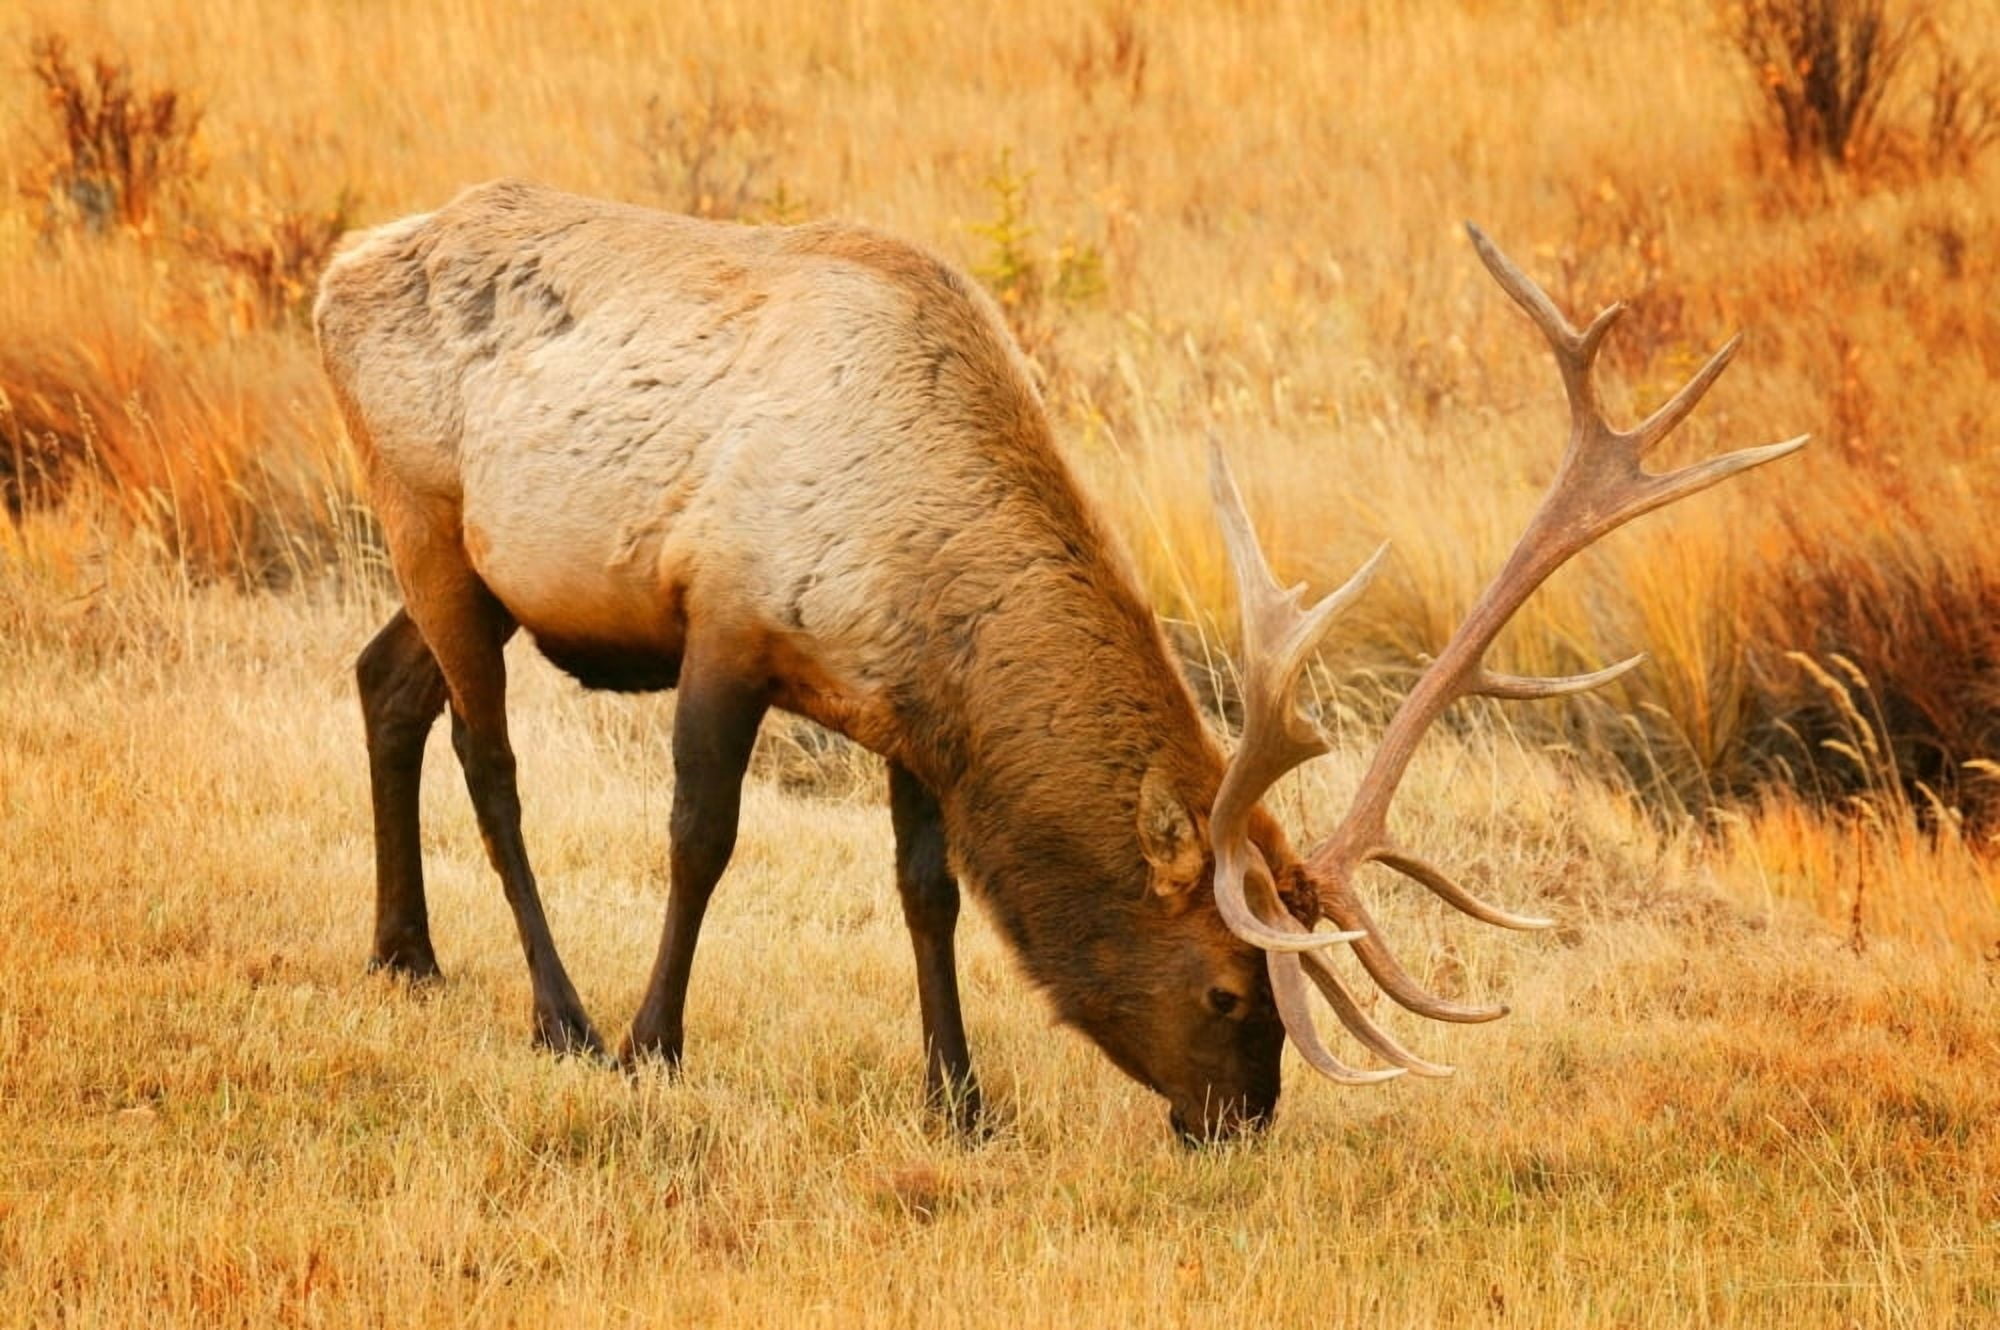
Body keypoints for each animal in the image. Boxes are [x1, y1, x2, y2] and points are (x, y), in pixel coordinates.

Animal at [313, 179, 1803, 1142]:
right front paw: (650, 1046)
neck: (913, 565)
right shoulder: (727, 622)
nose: (1238, 1121)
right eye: (1226, 984)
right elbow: (700, 838)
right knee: (490, 758)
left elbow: (928, 891)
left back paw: (404, 953)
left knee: (382, 682)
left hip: (473, 572)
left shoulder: (903, 714)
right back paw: (555, 1012)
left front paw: (958, 1098)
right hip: (425, 512)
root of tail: (333, 269)